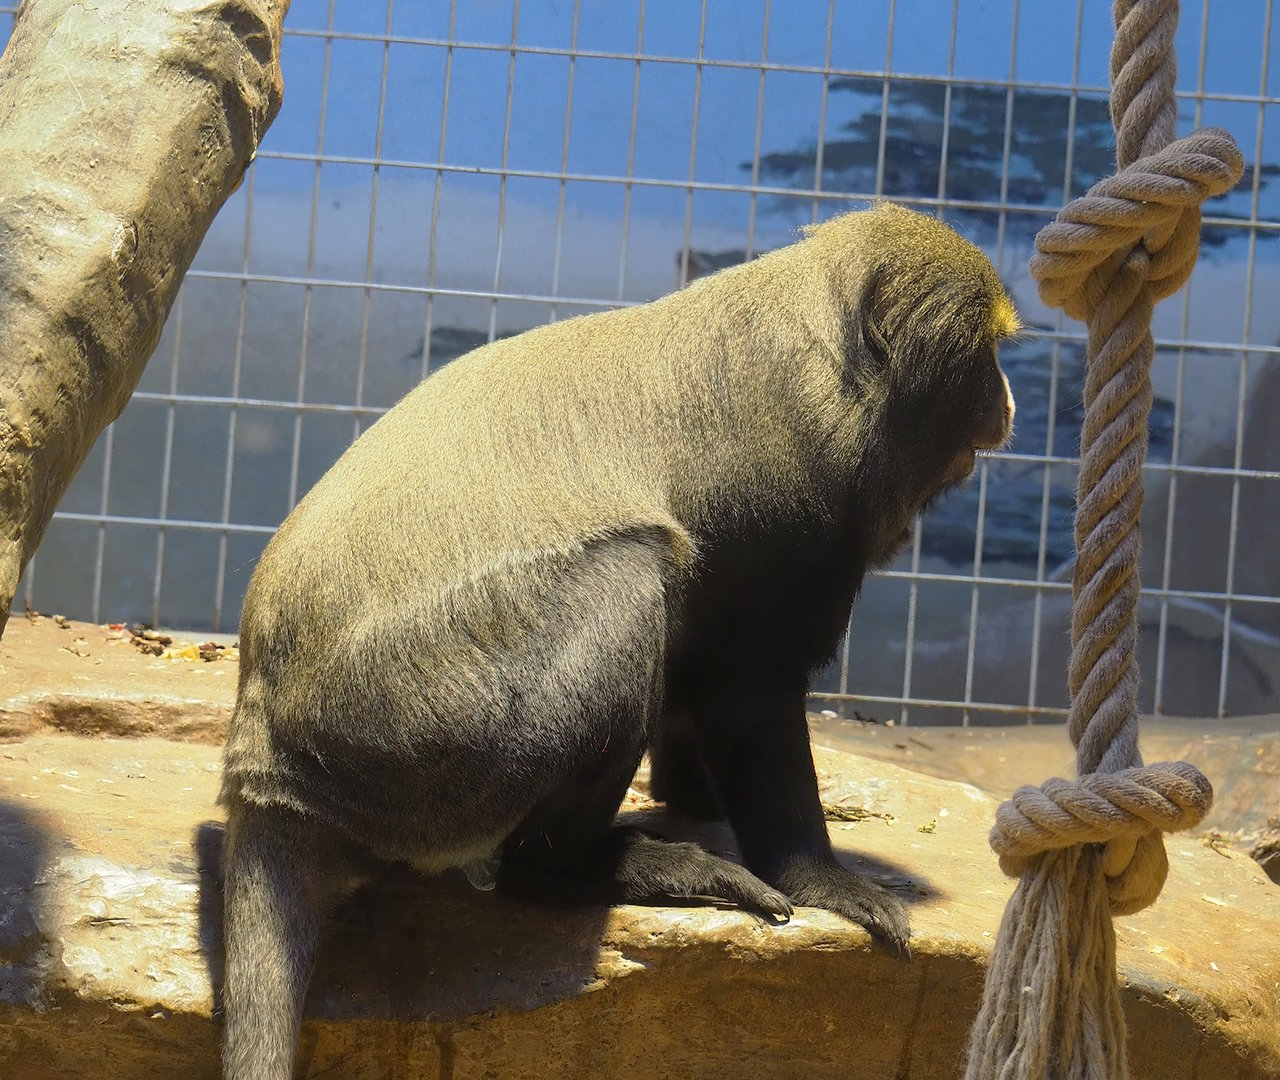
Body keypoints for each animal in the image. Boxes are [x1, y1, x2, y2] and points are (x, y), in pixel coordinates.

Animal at [217, 202, 1018, 1078]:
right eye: (989, 358)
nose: (1008, 402)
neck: (822, 337)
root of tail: (269, 762)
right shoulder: (798, 502)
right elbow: (750, 698)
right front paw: (825, 883)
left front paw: (694, 798)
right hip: (423, 732)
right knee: (631, 583)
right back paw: (583, 867)